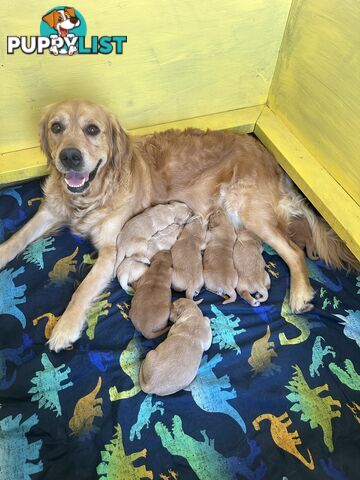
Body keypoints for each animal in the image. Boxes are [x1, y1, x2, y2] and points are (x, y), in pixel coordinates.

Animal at [0, 100, 356, 352]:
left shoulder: (111, 251)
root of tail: (270, 157)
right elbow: (16, 239)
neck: (92, 194)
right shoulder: (50, 209)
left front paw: (64, 328)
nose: (69, 157)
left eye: (92, 130)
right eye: (57, 127)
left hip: (248, 210)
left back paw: (300, 294)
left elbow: (82, 289)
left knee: (295, 252)